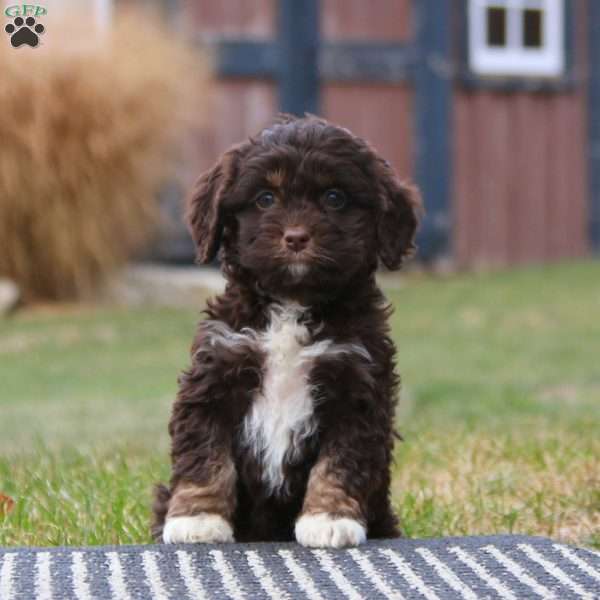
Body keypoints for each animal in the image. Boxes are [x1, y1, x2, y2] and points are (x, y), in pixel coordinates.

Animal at [152, 113, 420, 548]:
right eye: (265, 199)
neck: (292, 302)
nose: (295, 237)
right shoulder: (213, 378)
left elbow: (340, 461)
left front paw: (329, 517)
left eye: (334, 197)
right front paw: (198, 518)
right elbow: (205, 455)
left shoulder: (357, 389)